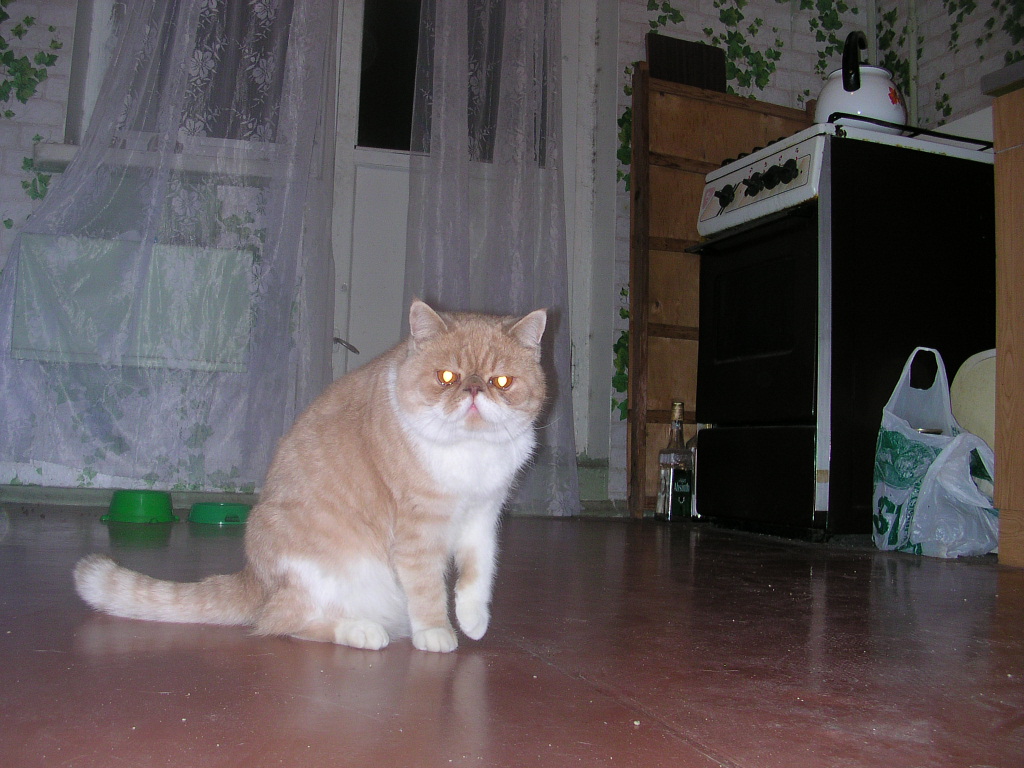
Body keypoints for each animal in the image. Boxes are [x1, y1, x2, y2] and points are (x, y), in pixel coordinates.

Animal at [74, 299, 547, 653]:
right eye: (446, 376)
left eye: (501, 381)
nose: (474, 391)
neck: (471, 454)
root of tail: (255, 578)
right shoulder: (418, 531)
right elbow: (428, 587)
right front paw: (436, 632)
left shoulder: (482, 518)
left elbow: (477, 575)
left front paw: (473, 621)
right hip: (337, 572)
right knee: (282, 622)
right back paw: (363, 631)